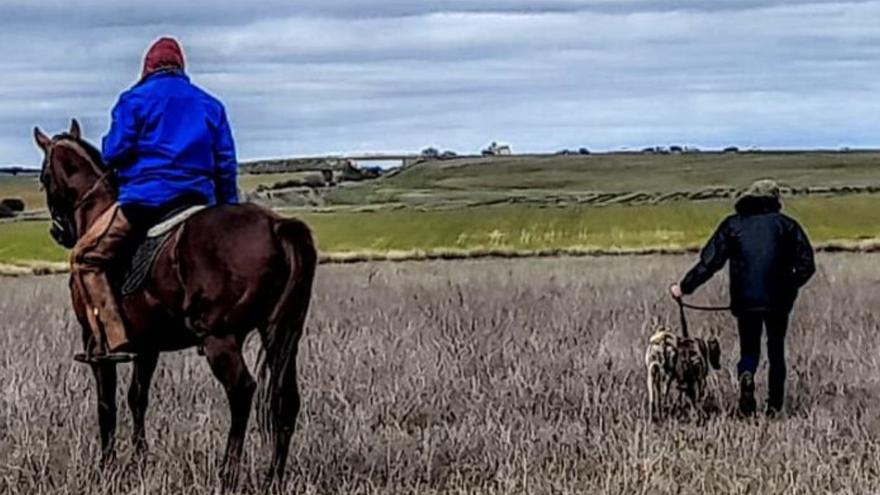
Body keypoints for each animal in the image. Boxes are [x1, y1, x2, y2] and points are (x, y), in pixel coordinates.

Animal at [33, 120, 320, 492]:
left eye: (44, 176)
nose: (60, 233)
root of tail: (276, 225)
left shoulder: (95, 342)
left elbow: (106, 404)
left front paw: (106, 466)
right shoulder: (147, 346)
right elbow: (137, 398)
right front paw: (139, 460)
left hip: (220, 339)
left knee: (242, 391)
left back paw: (228, 475)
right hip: (282, 335)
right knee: (286, 400)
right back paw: (274, 477)